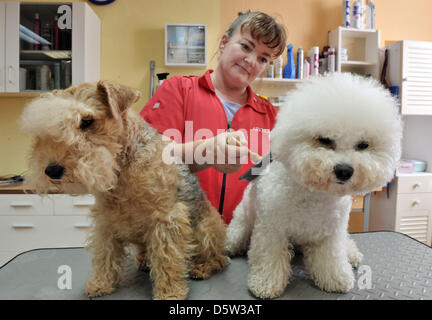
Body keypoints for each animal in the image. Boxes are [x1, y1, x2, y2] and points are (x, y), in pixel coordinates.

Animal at [226, 73, 402, 300]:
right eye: (324, 140)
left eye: (363, 145)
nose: (344, 170)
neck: (314, 195)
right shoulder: (272, 229)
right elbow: (270, 257)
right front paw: (266, 283)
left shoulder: (331, 233)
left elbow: (331, 257)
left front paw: (336, 278)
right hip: (243, 222)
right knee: (237, 234)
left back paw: (351, 253)